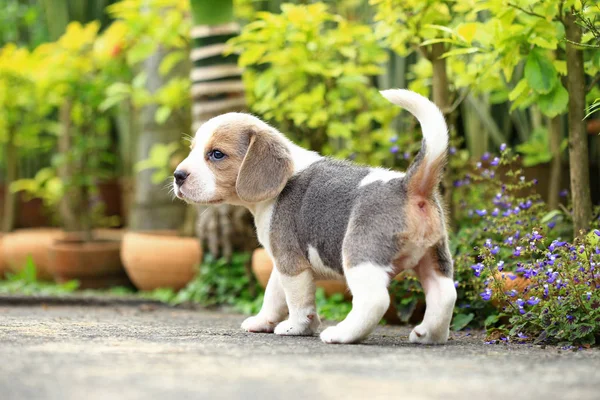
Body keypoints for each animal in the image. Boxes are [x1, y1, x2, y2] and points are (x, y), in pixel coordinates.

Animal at [176, 90, 458, 344]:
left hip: (361, 256)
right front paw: (263, 321)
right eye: (193, 149)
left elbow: (297, 300)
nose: (178, 176)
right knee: (445, 295)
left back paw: (342, 334)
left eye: (216, 154)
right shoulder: (283, 261)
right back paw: (430, 335)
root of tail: (409, 185)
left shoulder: (292, 264)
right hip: (434, 258)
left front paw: (297, 327)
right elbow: (273, 293)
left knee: (375, 300)